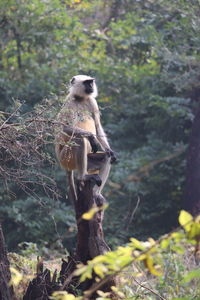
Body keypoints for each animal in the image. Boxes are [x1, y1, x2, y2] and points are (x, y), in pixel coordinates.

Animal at [55, 74, 116, 204]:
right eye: (87, 83)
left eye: (91, 82)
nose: (91, 86)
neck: (80, 98)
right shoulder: (69, 102)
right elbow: (66, 128)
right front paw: (92, 138)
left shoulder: (92, 101)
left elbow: (97, 127)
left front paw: (110, 151)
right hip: (66, 158)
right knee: (79, 140)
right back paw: (82, 176)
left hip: (87, 161)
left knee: (106, 156)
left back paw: (96, 194)